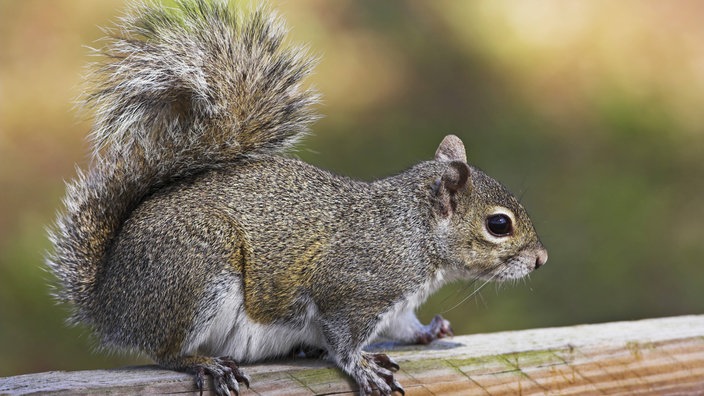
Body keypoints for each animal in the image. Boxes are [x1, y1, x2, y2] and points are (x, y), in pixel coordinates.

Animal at [46, 0, 548, 396]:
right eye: (498, 225)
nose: (541, 259)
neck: (414, 232)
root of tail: (109, 301)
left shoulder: (396, 305)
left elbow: (403, 325)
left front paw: (428, 332)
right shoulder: (351, 289)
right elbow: (343, 339)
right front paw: (362, 368)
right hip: (194, 272)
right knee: (164, 349)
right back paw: (204, 363)